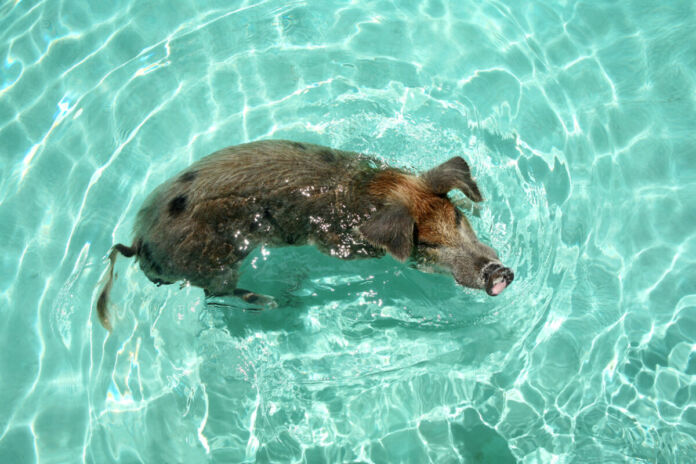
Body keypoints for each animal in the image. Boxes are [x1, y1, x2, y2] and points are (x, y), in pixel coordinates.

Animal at [96, 140, 512, 332]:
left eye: (456, 219)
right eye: (427, 245)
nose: (498, 273)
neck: (377, 191)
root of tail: (137, 242)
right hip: (213, 264)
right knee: (218, 293)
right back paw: (276, 300)